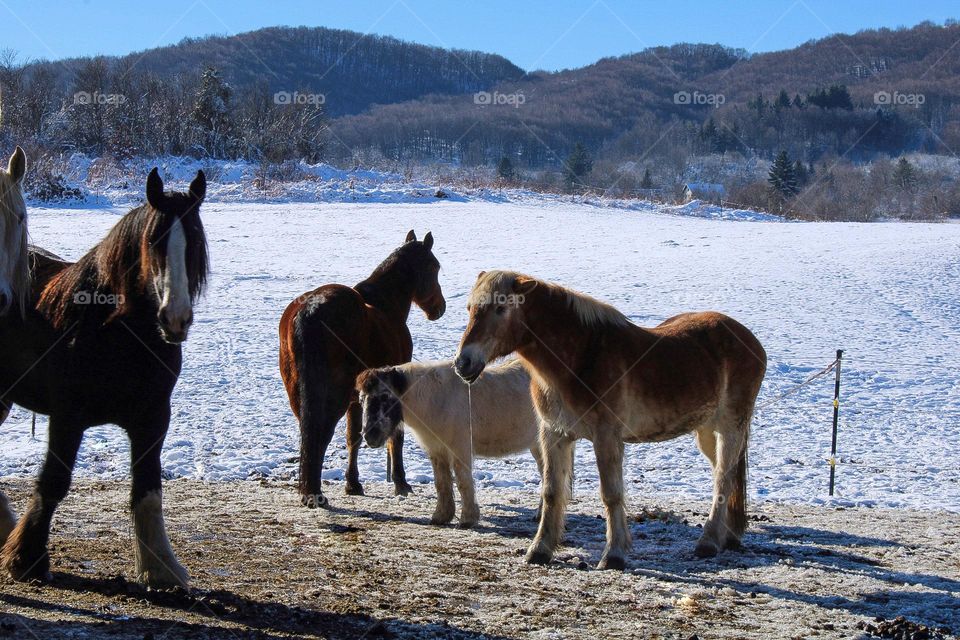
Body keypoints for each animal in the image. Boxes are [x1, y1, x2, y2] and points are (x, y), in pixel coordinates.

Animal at [0, 168, 209, 588]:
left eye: (194, 240)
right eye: (154, 241)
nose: (175, 319)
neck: (116, 330)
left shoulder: (152, 419)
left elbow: (148, 490)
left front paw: (161, 567)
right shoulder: (68, 417)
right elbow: (54, 482)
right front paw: (26, 558)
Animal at [279, 230, 445, 509]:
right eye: (435, 267)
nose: (439, 308)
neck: (386, 306)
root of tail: (311, 309)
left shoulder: (357, 397)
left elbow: (353, 437)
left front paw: (353, 484)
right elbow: (395, 437)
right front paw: (401, 483)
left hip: (300, 393)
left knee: (308, 433)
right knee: (320, 434)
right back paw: (313, 492)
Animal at [356, 358, 543, 528]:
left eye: (385, 396)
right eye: (361, 400)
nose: (369, 435)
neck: (436, 399)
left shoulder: (460, 449)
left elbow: (463, 481)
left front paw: (468, 519)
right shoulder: (437, 450)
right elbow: (442, 483)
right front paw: (441, 516)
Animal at [453, 271, 766, 570]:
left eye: (500, 308)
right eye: (469, 308)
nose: (463, 363)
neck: (580, 359)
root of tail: (749, 340)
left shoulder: (606, 437)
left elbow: (610, 494)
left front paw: (613, 555)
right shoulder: (554, 434)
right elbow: (552, 491)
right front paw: (540, 550)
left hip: (730, 427)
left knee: (723, 480)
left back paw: (709, 542)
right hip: (707, 432)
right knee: (726, 477)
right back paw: (728, 537)